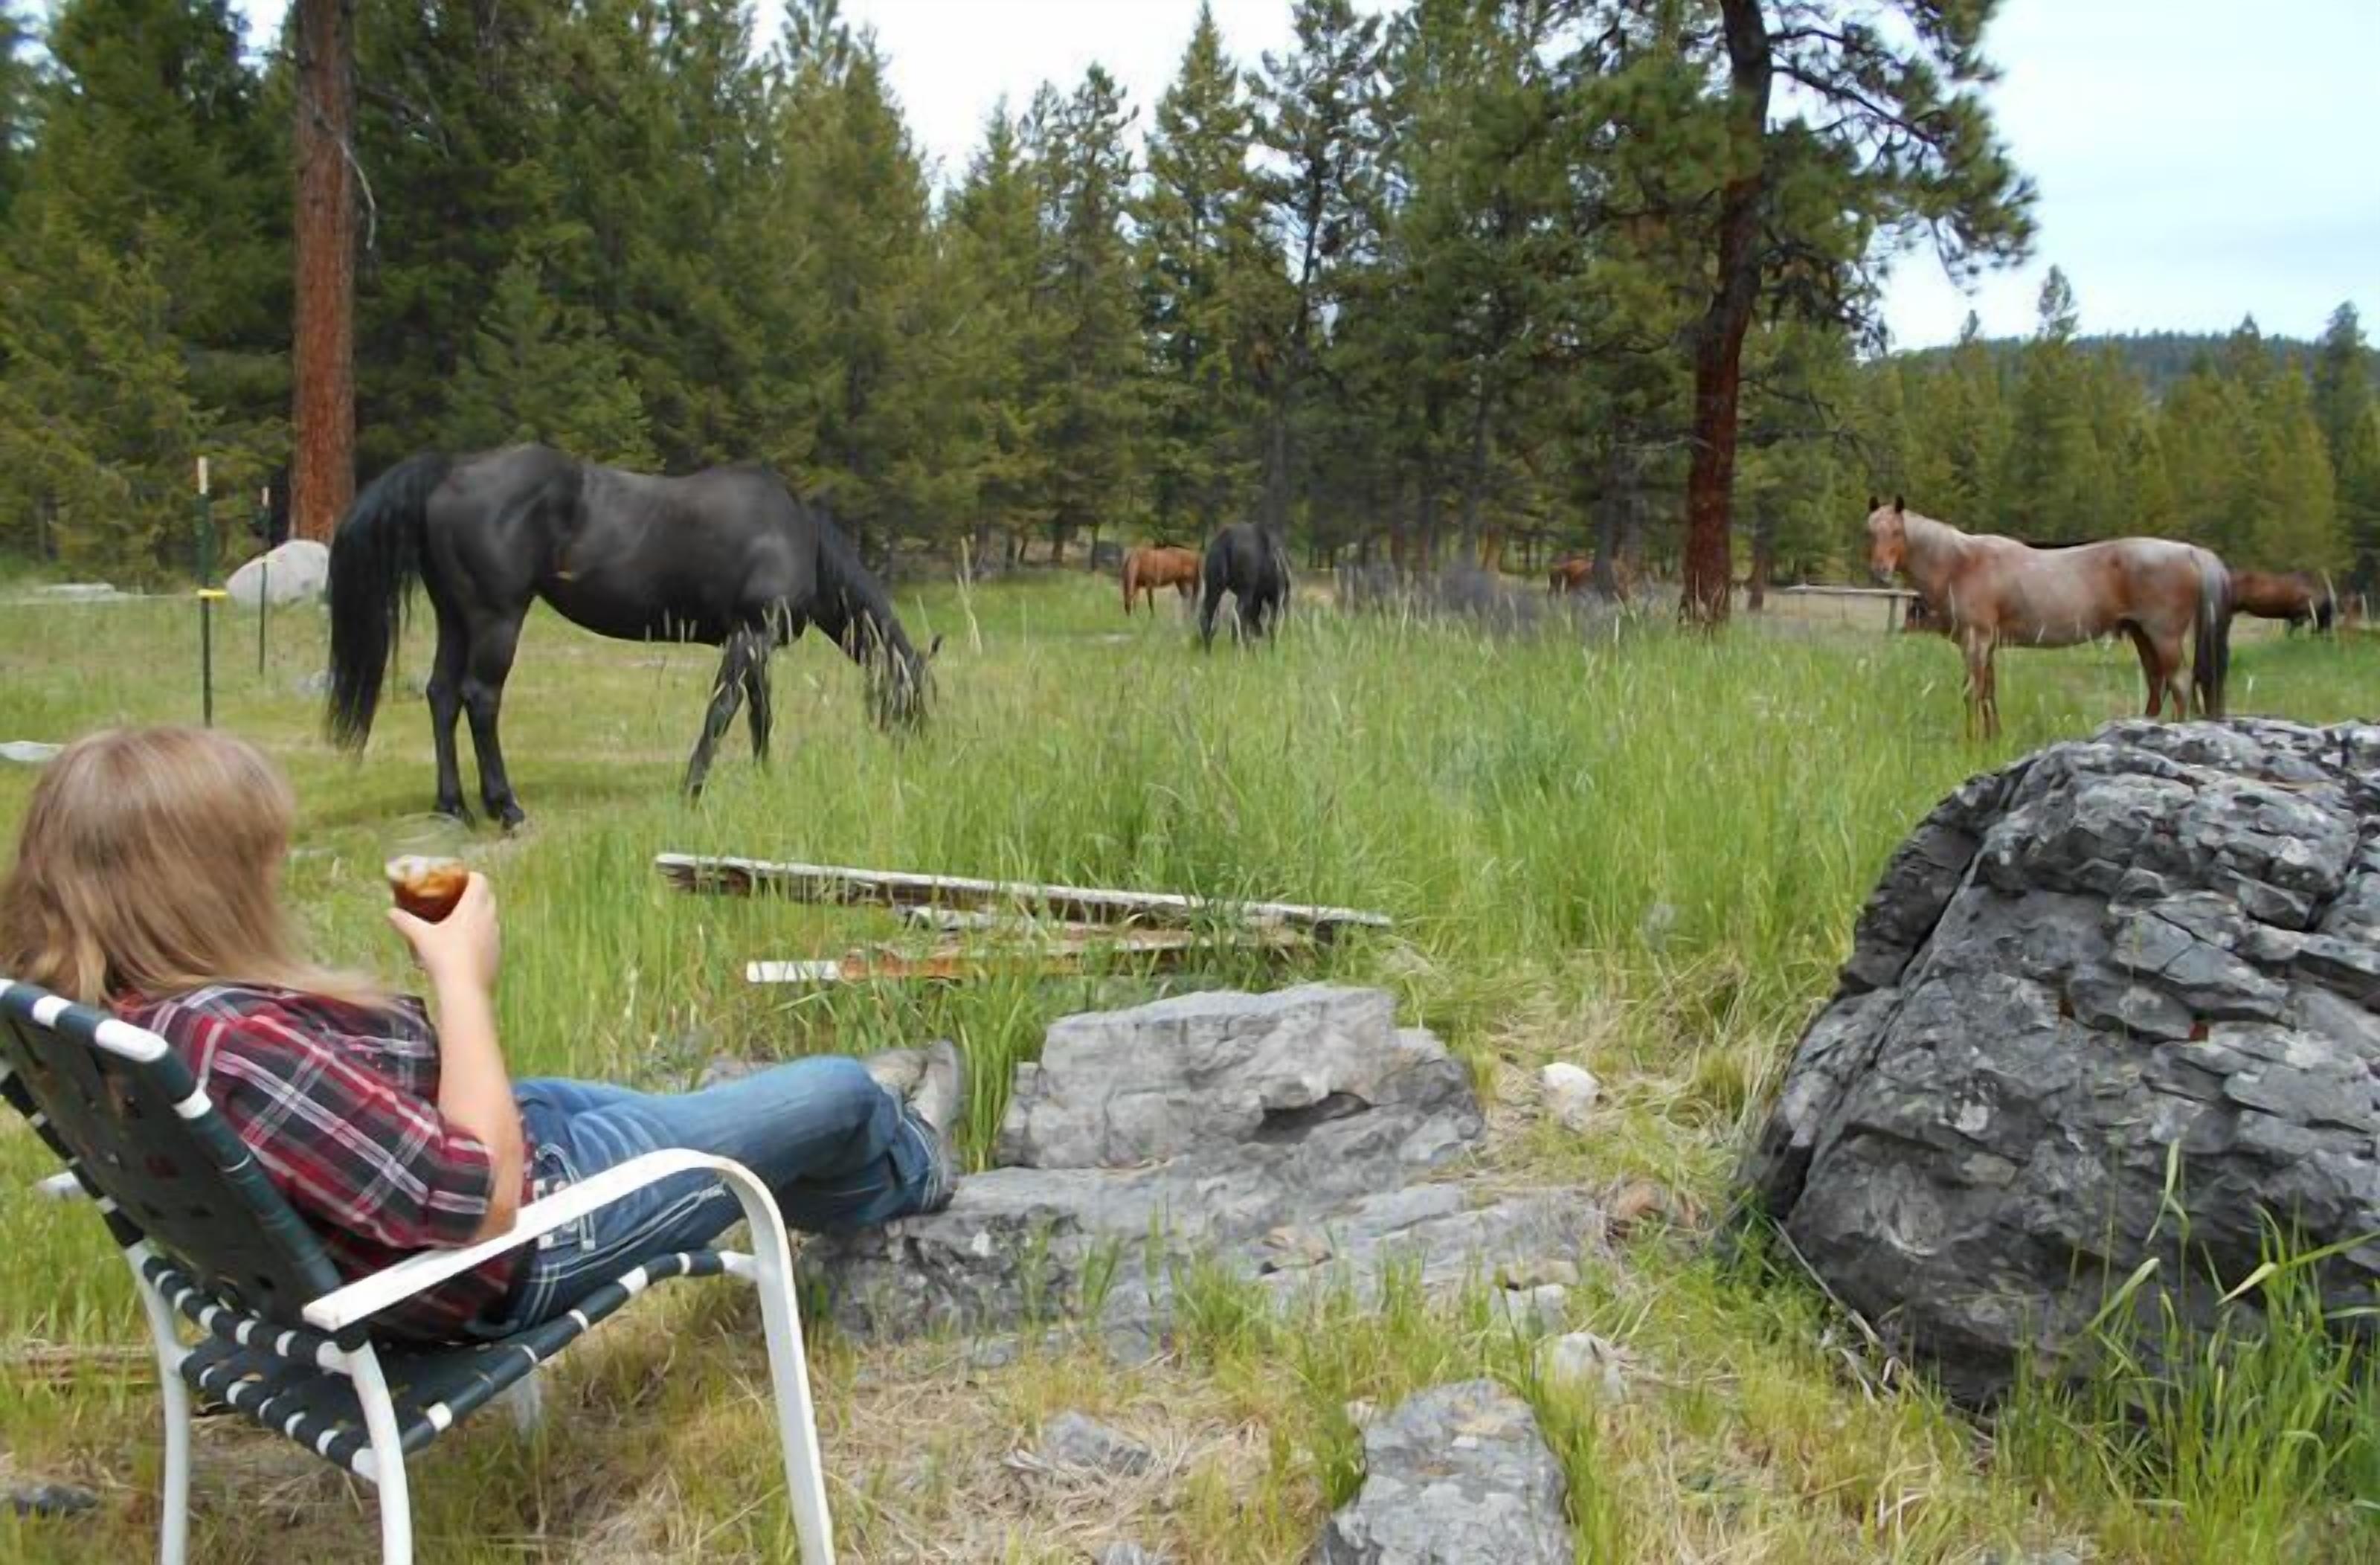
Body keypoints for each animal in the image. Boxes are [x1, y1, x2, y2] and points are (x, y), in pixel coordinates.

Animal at [325, 445, 938, 827]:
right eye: (913, 697)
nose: (921, 756)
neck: (796, 535)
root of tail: (451, 470)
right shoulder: (749, 636)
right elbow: (723, 710)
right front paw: (692, 790)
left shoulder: (756, 643)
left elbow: (759, 713)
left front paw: (765, 778)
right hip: (496, 619)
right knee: (480, 698)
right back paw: (506, 808)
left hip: (455, 618)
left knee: (442, 696)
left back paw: (452, 806)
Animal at [1199, 523, 1291, 648]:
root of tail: (1225, 541)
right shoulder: (1274, 595)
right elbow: (1271, 624)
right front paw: (1272, 646)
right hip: (1247, 590)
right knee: (1240, 614)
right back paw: (1245, 644)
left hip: (1214, 587)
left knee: (1206, 616)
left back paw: (1210, 649)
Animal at [1864, 496, 2233, 740]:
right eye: (1870, 532)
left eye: (1897, 532)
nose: (1880, 572)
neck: (1962, 563)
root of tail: (2189, 551)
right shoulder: (1988, 644)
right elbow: (1989, 692)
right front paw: (1993, 739)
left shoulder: (1976, 641)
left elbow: (1972, 691)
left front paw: (1972, 741)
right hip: (2143, 635)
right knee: (2158, 683)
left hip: (2163, 635)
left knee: (2180, 683)